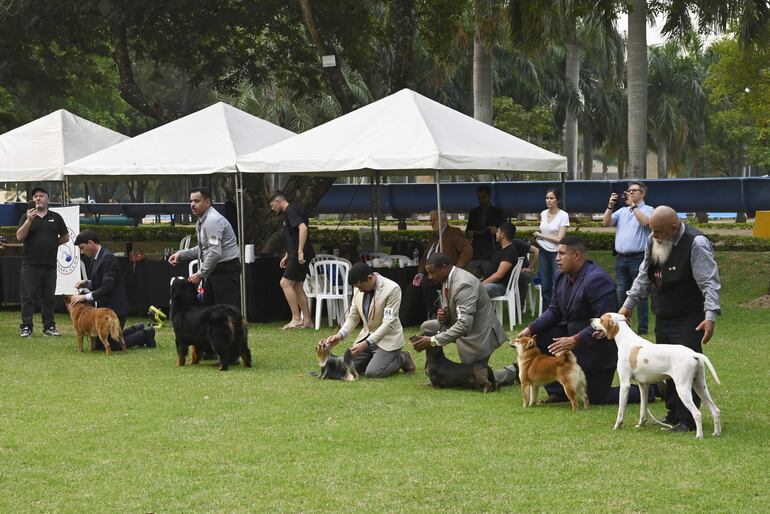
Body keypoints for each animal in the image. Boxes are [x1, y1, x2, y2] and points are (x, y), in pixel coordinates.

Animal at [588, 310, 720, 438]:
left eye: (601, 319)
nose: (590, 319)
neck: (626, 340)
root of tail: (694, 354)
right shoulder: (643, 386)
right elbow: (643, 409)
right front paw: (640, 425)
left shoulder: (625, 385)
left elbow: (621, 410)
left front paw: (617, 426)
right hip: (700, 386)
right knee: (716, 410)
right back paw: (716, 433)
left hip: (683, 389)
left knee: (697, 414)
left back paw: (699, 436)